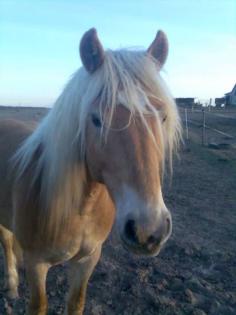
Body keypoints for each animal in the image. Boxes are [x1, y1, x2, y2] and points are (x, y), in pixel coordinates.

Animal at [0, 28, 181, 314]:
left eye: (161, 116)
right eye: (96, 119)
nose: (147, 230)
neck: (79, 208)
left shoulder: (88, 260)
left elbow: (76, 303)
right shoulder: (37, 265)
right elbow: (39, 305)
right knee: (6, 241)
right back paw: (11, 284)